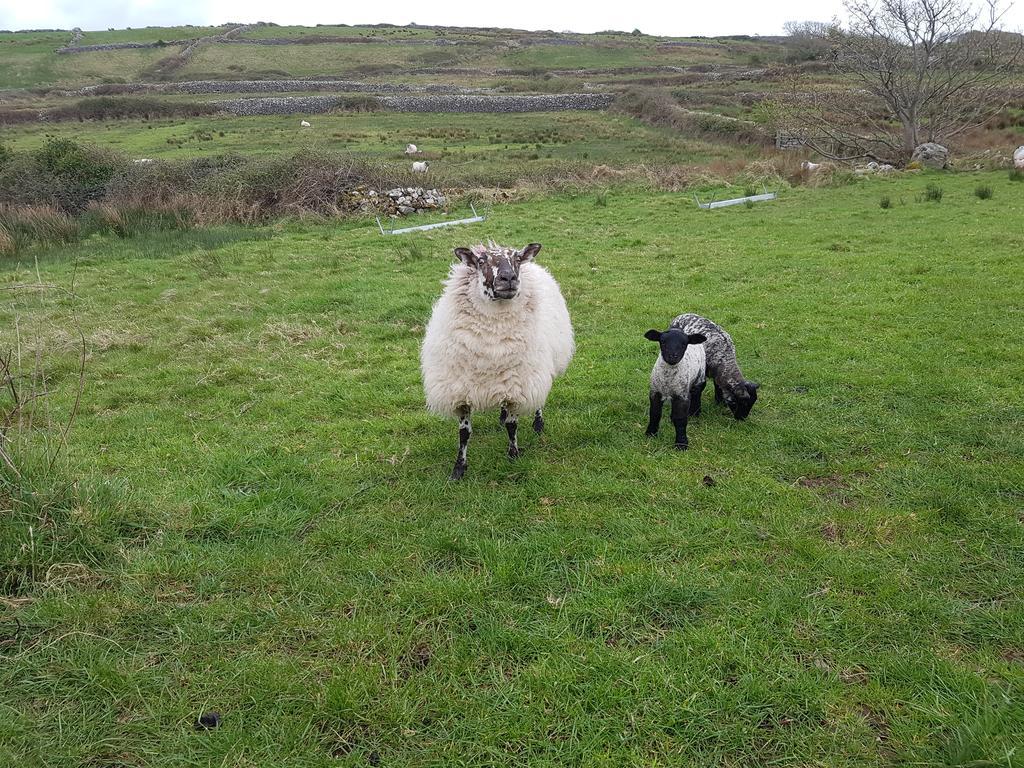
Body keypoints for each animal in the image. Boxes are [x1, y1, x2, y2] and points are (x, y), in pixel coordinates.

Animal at [417, 241, 577, 481]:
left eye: (517, 259)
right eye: (481, 261)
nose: (508, 277)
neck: (492, 343)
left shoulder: (518, 387)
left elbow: (512, 426)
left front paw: (513, 456)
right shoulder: (461, 391)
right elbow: (464, 433)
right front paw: (458, 469)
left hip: (537, 370)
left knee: (538, 399)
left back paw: (538, 423)